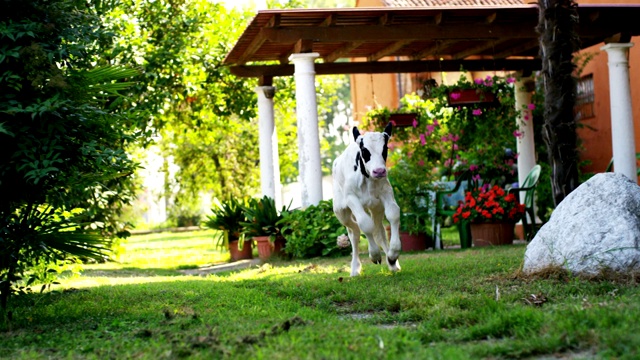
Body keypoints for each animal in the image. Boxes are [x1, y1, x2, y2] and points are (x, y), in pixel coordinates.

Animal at [336, 122, 400, 278]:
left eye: (385, 148)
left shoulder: (386, 192)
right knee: (354, 231)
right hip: (341, 211)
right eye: (365, 150)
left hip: (376, 207)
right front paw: (375, 254)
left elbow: (394, 214)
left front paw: (393, 255)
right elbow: (365, 223)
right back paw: (355, 268)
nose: (379, 171)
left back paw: (392, 264)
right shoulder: (352, 198)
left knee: (378, 231)